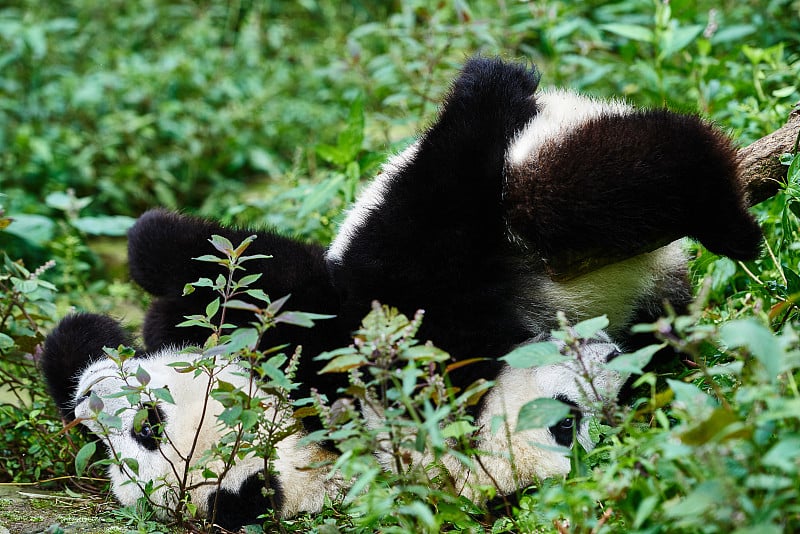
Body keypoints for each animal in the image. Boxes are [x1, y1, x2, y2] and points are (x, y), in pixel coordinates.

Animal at [39, 56, 764, 532]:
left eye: (146, 426)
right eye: (566, 426)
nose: (92, 406)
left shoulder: (319, 332)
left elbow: (234, 272)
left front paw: (95, 323)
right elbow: (420, 265)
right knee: (606, 179)